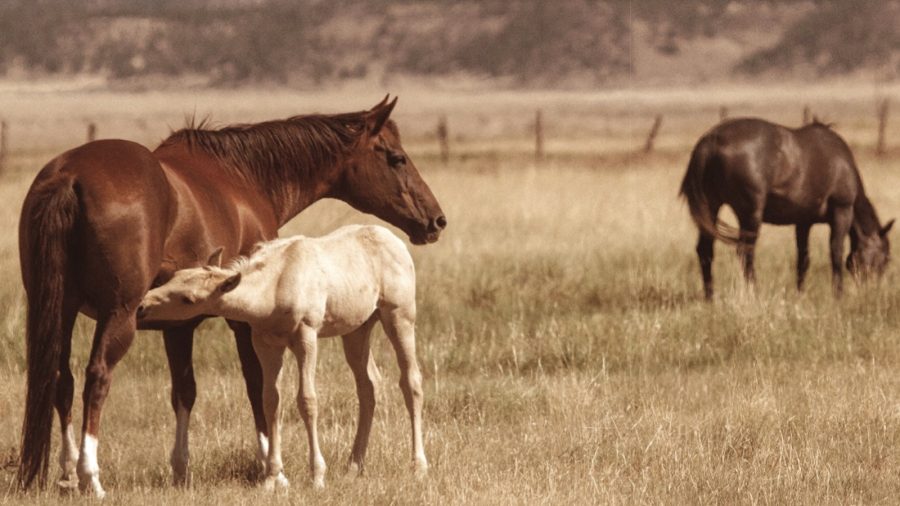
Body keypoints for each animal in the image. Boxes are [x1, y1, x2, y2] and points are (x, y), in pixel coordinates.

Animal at [136, 224, 427, 489]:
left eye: (188, 299)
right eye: (175, 277)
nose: (142, 306)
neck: (275, 286)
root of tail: (395, 240)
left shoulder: (306, 337)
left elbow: (307, 401)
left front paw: (317, 476)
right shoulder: (266, 344)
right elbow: (270, 401)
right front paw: (271, 477)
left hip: (399, 316)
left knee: (410, 382)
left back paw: (418, 465)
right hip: (356, 330)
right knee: (369, 385)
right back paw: (354, 465)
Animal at [680, 117, 893, 299]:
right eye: (885, 259)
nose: (872, 291)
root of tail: (711, 140)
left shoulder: (803, 222)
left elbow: (803, 259)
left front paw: (800, 294)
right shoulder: (842, 211)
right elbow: (836, 252)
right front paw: (838, 295)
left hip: (712, 208)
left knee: (705, 251)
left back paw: (710, 297)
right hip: (750, 215)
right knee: (745, 252)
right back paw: (754, 293)